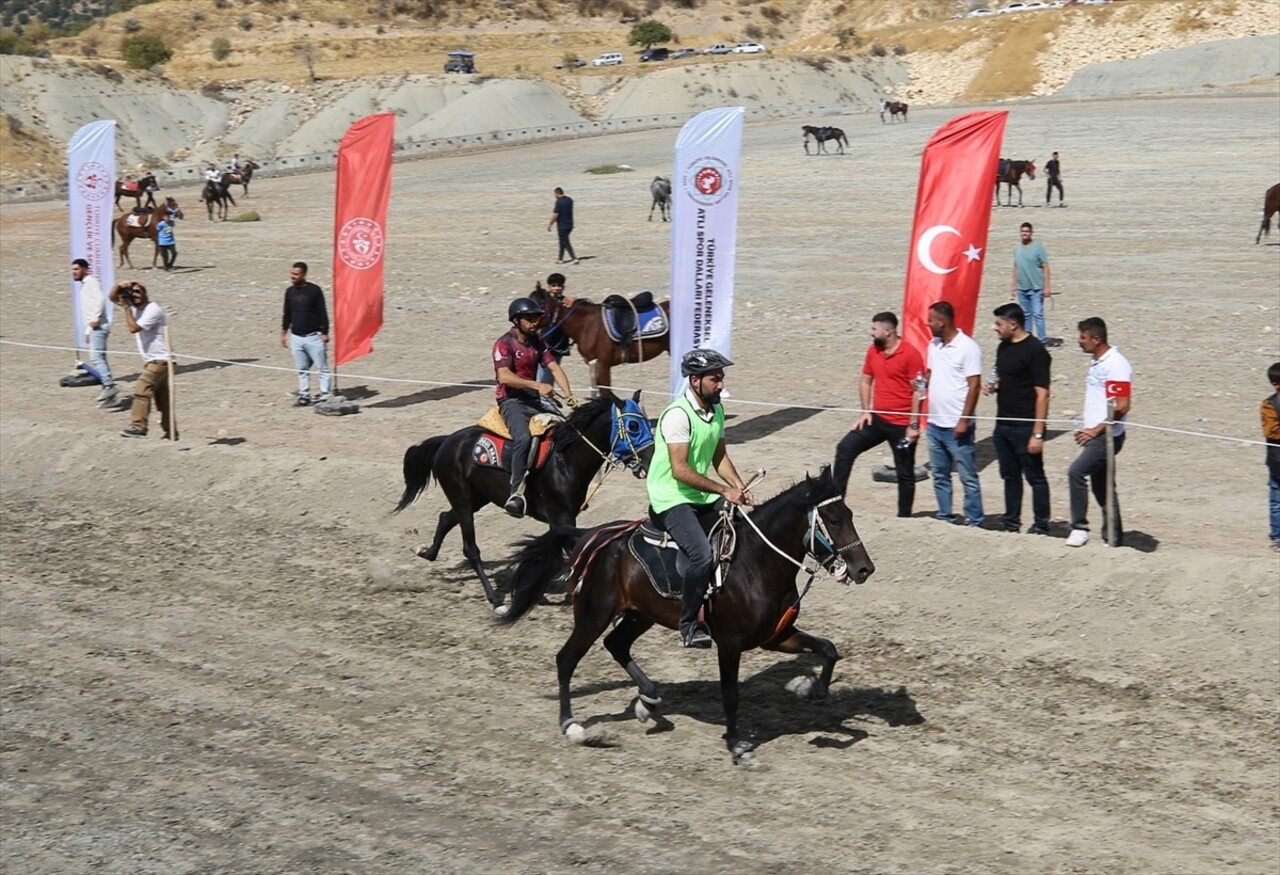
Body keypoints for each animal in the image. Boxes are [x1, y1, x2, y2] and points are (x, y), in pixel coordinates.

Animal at [391, 394, 655, 611]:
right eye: (633, 426)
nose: (651, 458)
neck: (565, 459)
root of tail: (447, 441)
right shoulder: (561, 516)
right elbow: (574, 550)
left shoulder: (564, 517)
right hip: (462, 498)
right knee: (470, 548)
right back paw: (495, 600)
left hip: (477, 498)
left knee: (445, 518)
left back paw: (426, 552)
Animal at [494, 468, 875, 762]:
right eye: (834, 520)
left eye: (852, 515)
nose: (864, 570)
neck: (757, 562)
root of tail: (588, 534)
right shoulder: (730, 644)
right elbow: (731, 695)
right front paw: (737, 745)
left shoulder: (776, 636)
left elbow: (828, 650)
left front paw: (809, 688)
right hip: (593, 614)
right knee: (566, 659)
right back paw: (572, 725)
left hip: (639, 615)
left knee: (616, 645)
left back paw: (648, 701)